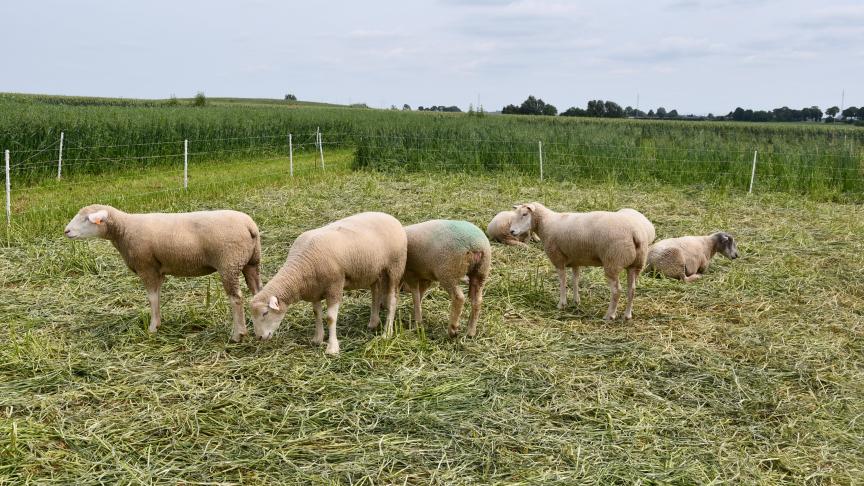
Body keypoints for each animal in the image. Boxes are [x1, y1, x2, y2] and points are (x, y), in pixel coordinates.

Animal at [64, 204, 262, 341]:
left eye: (86, 219)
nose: (66, 231)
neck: (124, 229)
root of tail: (250, 226)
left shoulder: (147, 267)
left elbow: (152, 298)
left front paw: (152, 328)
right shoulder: (157, 270)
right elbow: (157, 296)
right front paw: (158, 322)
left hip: (229, 263)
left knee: (236, 298)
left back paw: (238, 334)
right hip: (250, 262)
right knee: (257, 292)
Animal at [250, 212, 407, 355]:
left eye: (265, 313)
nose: (259, 337)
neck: (300, 268)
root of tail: (391, 217)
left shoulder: (334, 286)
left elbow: (330, 318)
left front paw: (332, 348)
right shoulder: (314, 290)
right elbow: (316, 313)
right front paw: (317, 339)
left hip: (395, 267)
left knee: (392, 300)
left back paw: (387, 333)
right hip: (375, 271)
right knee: (375, 294)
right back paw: (373, 323)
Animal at [509, 202, 655, 320]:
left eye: (524, 214)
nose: (511, 231)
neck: (546, 223)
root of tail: (635, 233)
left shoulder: (558, 258)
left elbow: (563, 281)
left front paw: (562, 304)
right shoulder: (575, 260)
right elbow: (575, 280)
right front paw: (576, 301)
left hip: (613, 262)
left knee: (616, 291)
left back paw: (609, 315)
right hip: (635, 265)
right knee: (632, 289)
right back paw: (627, 315)